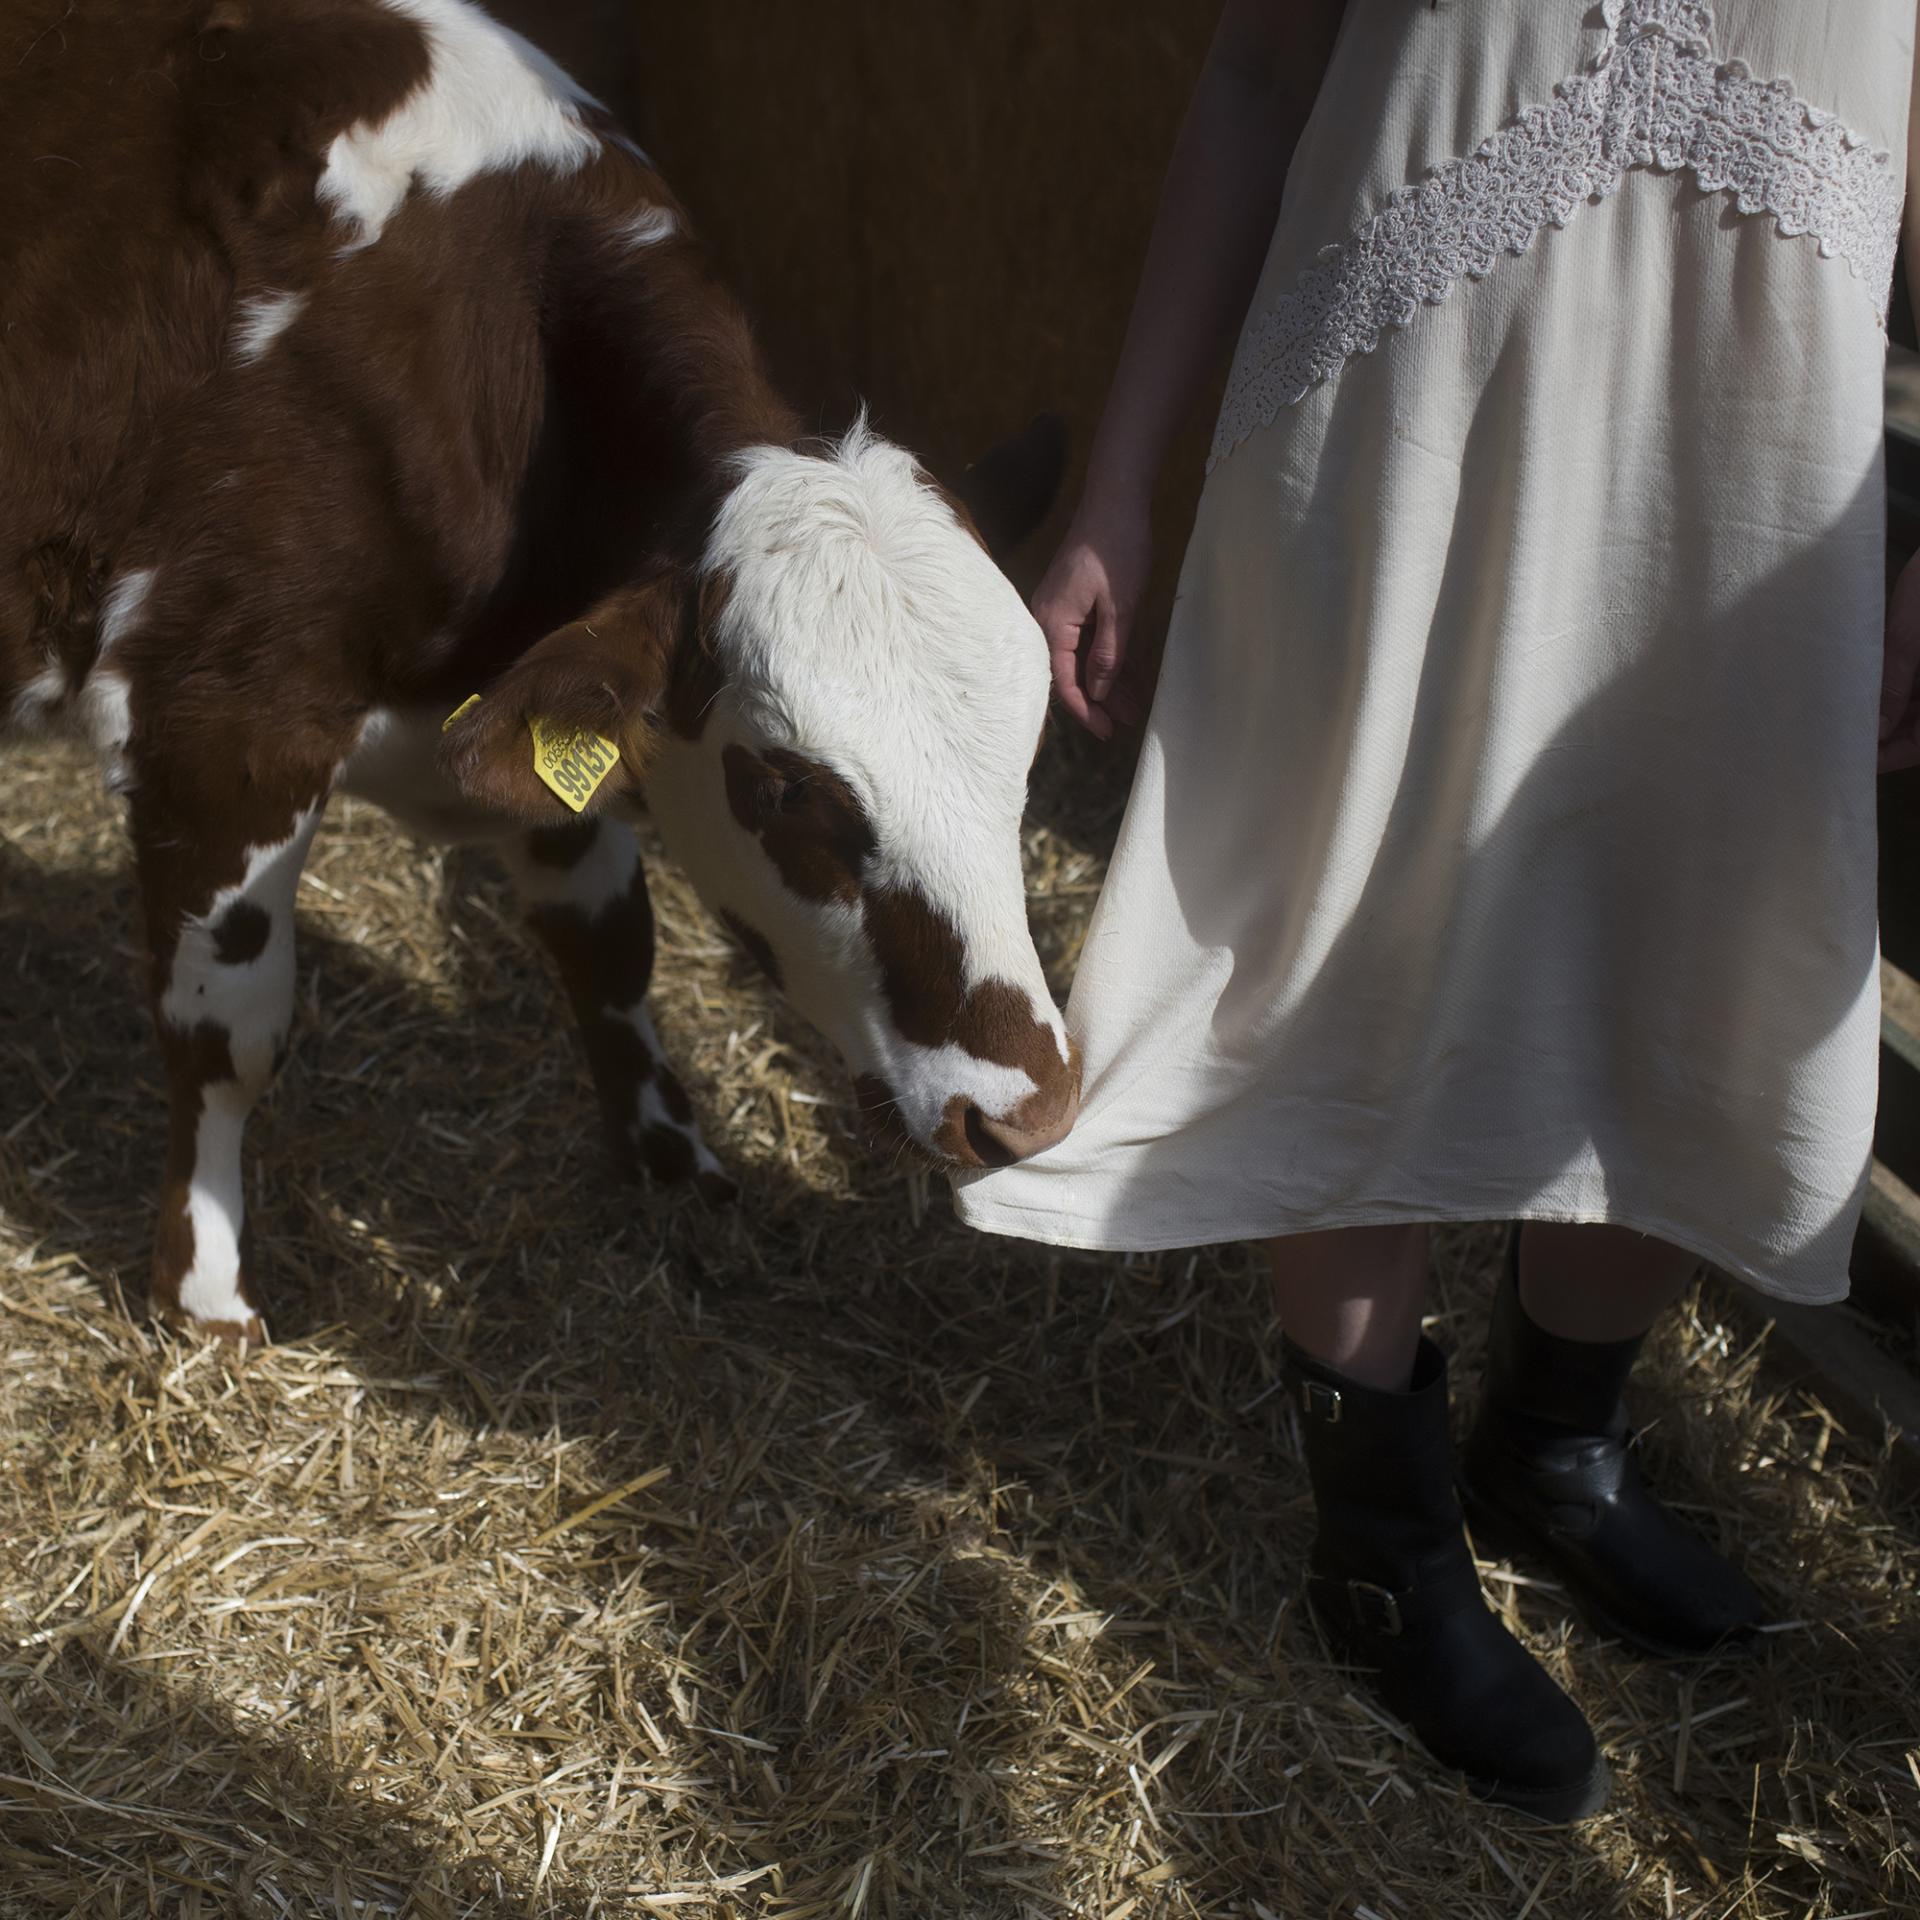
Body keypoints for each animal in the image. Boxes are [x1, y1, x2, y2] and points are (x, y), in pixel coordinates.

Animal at [0, 0, 1082, 1351]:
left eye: (1027, 759)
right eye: (785, 788)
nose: (1026, 1112)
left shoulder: (558, 696)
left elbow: (608, 945)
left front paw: (671, 1158)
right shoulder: (222, 721)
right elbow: (226, 1030)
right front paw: (204, 1293)